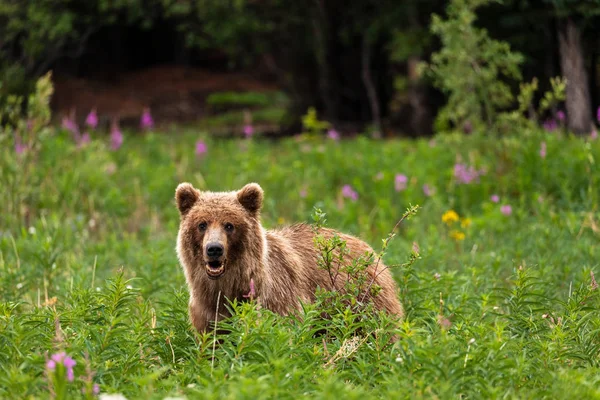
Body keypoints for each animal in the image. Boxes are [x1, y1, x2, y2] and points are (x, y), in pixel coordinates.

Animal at [176, 183, 406, 332]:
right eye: (202, 224)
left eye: (229, 225)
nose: (214, 249)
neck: (228, 286)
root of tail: (367, 247)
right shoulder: (207, 310)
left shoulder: (277, 297)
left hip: (363, 298)